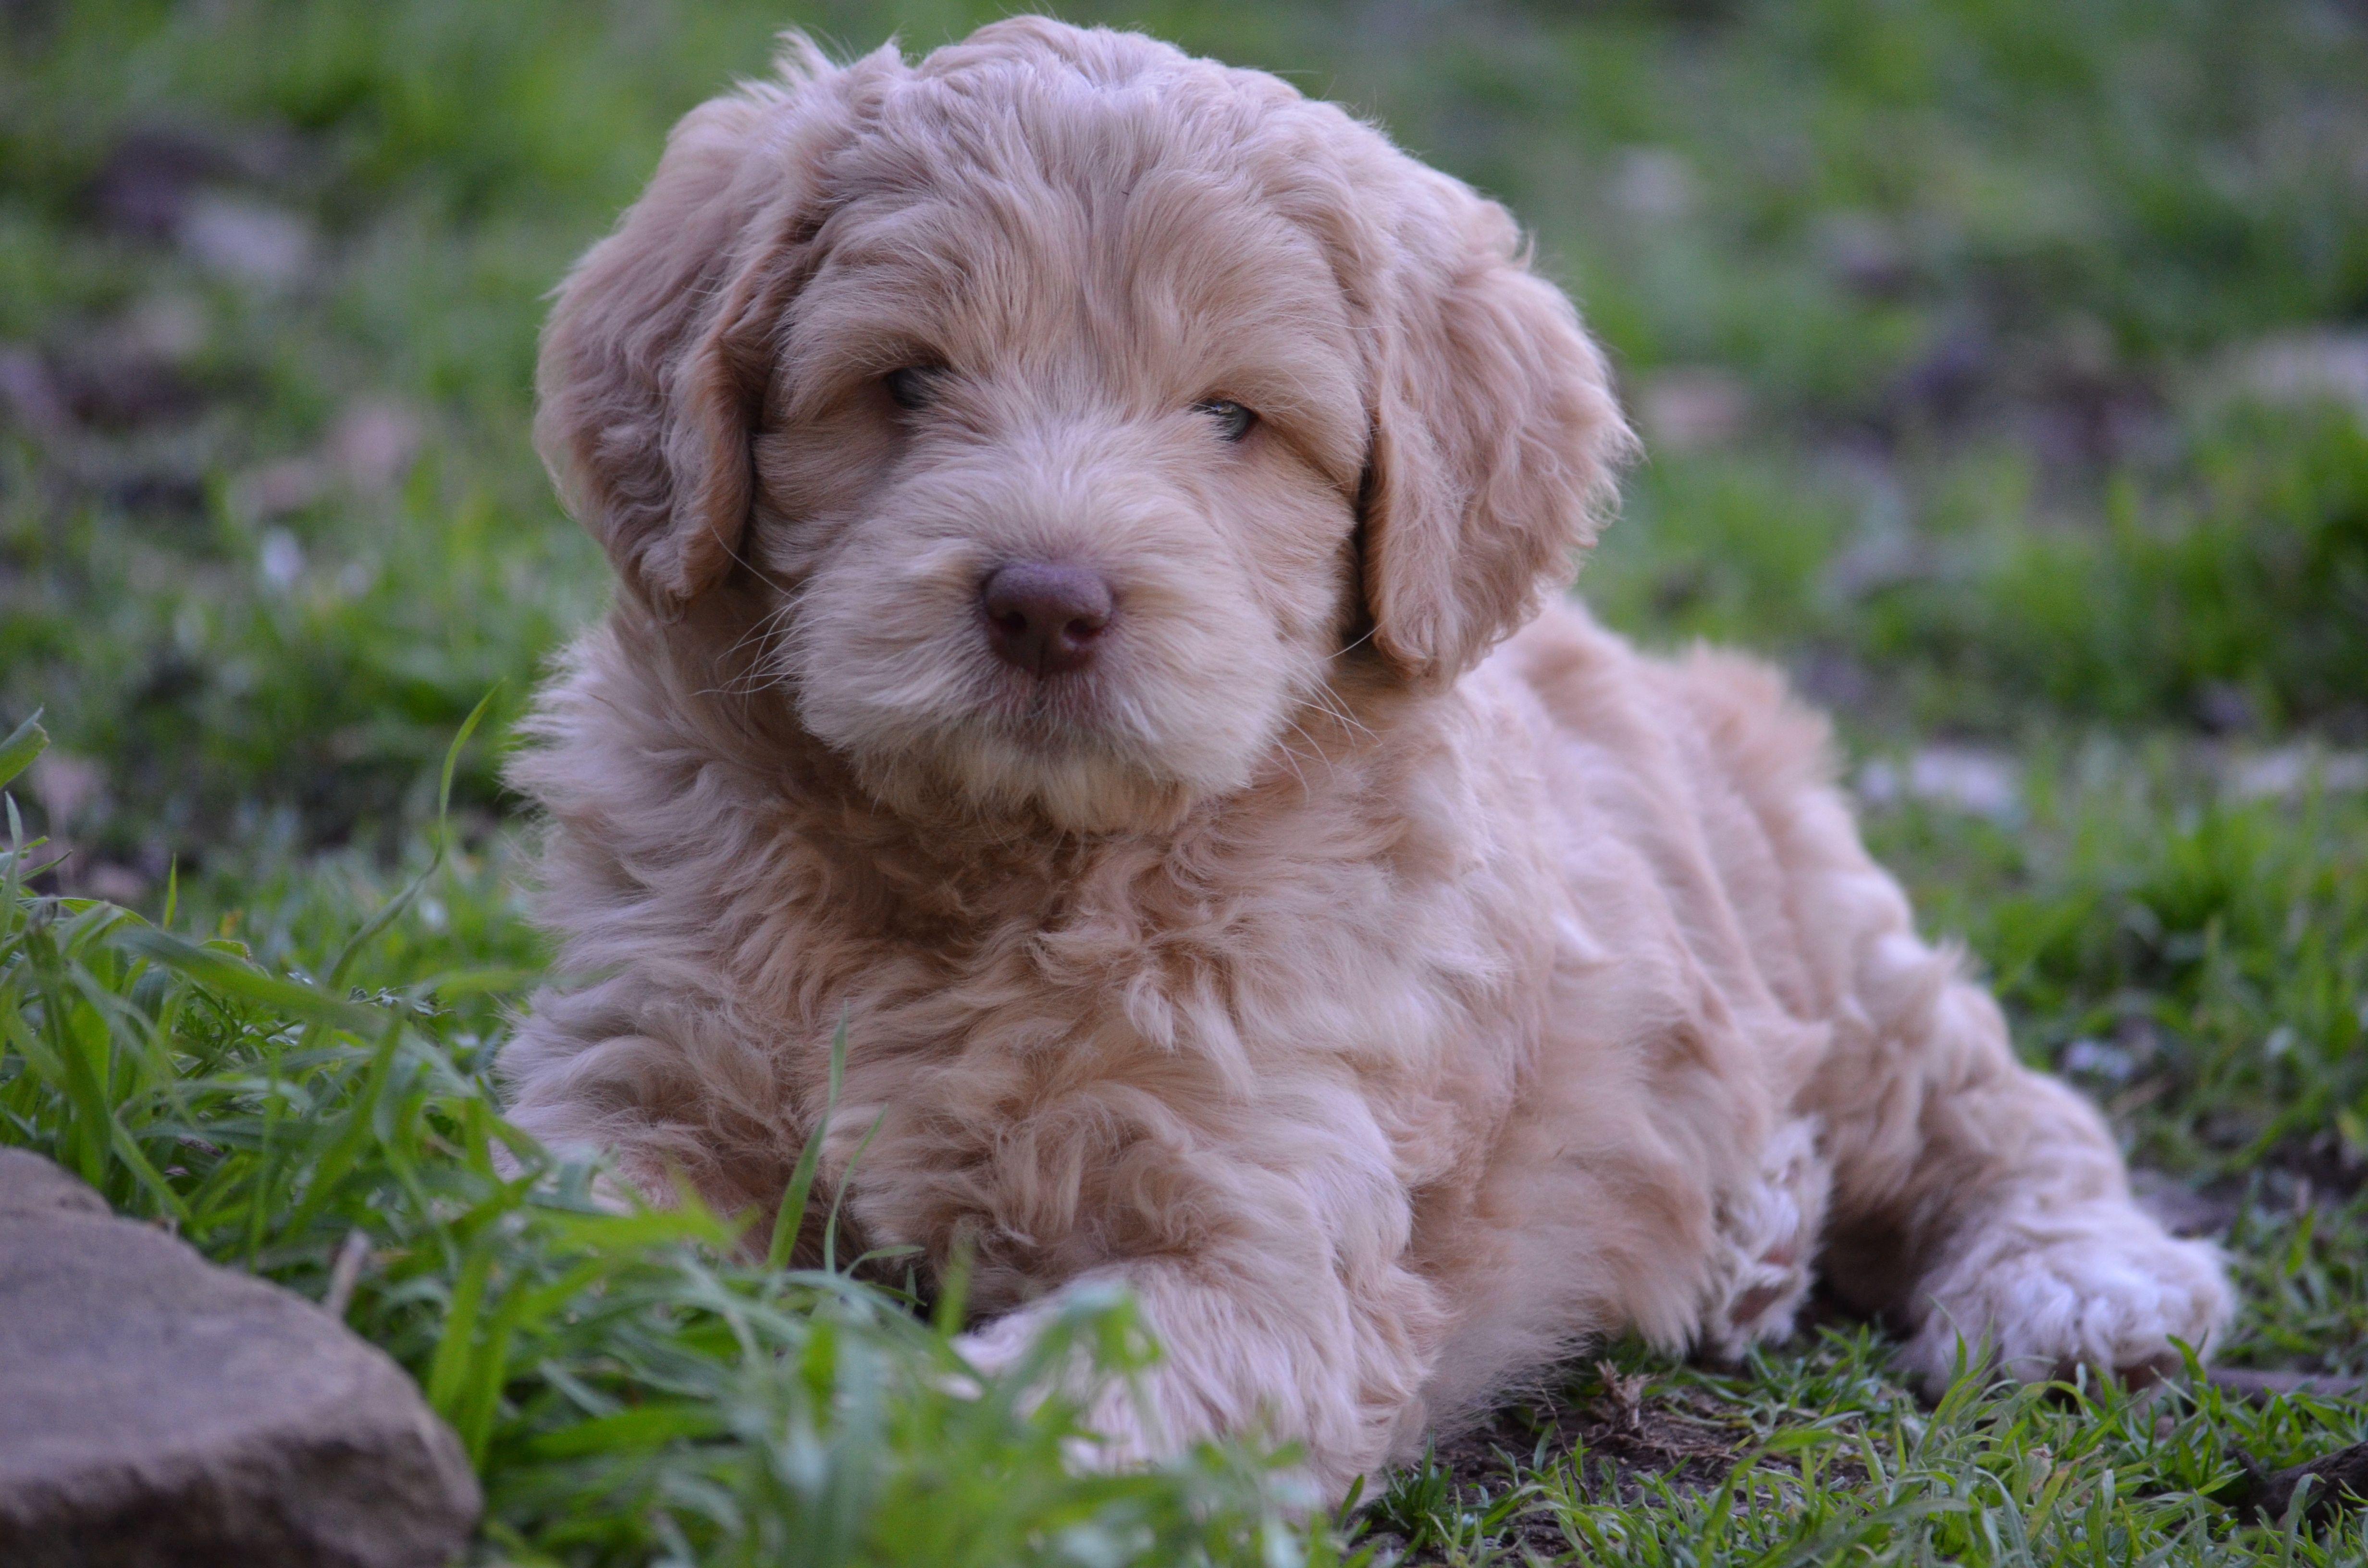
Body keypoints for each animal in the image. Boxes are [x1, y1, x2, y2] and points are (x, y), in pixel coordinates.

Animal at [494, 21, 2216, 1497]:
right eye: (905, 381)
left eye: (1232, 420)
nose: (1047, 602)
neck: (998, 877)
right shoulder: (632, 1054)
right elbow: (549, 1213)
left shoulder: (1275, 1239)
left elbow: (1073, 1382)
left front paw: (886, 1443)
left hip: (1818, 926)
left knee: (1990, 1101)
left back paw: (2075, 1282)